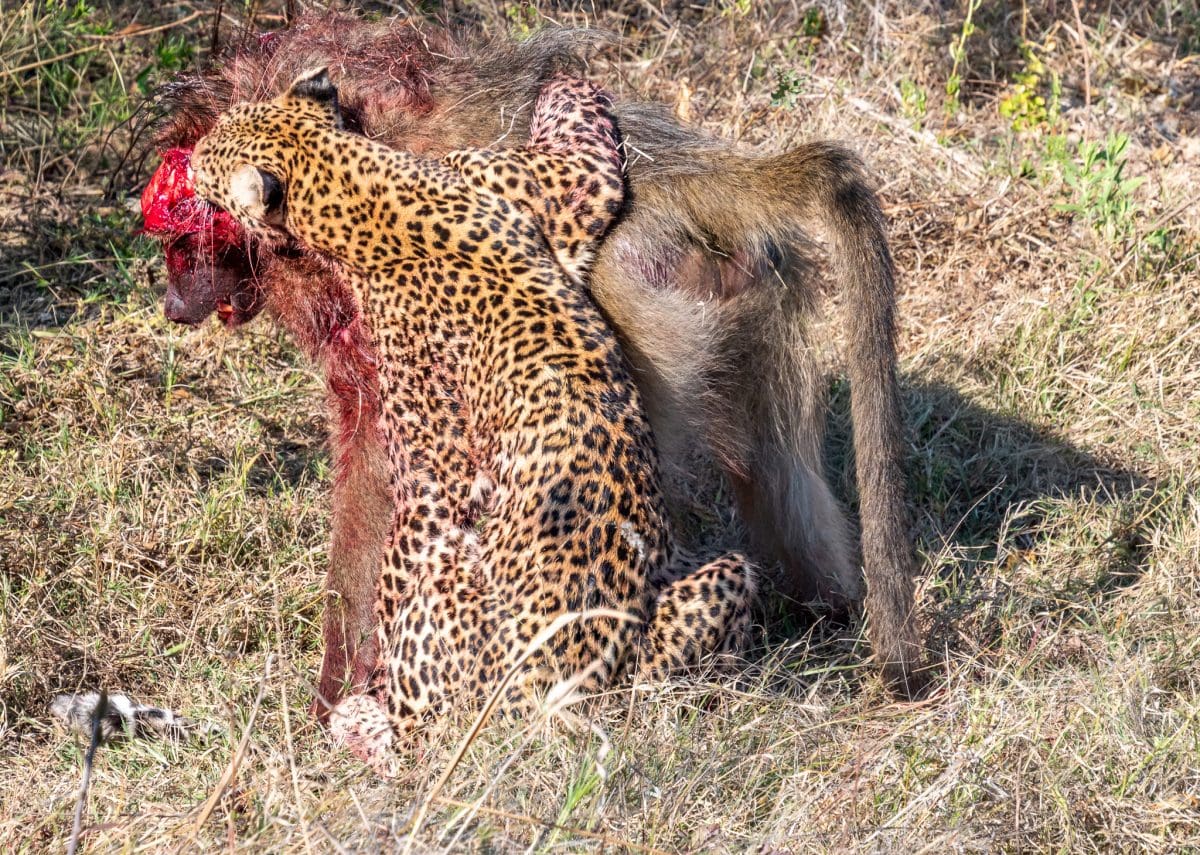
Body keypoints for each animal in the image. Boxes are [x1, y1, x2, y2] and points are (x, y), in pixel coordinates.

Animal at [140, 11, 926, 703]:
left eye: (182, 238)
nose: (175, 304)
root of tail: (690, 185)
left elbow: (383, 473)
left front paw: (337, 698)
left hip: (647, 334)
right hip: (748, 306)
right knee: (775, 472)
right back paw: (829, 612)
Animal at [181, 68, 757, 774]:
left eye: (211, 152)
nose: (188, 160)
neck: (361, 185)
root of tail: (533, 699)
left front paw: (565, 80)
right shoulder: (570, 197)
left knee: (419, 724)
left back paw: (362, 719)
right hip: (713, 587)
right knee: (651, 686)